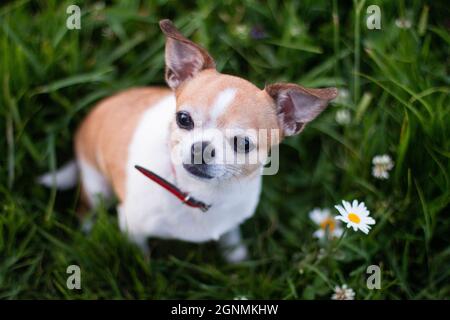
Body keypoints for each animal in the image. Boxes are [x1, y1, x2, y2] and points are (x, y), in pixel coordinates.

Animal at [39, 18, 338, 262]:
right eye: (183, 119)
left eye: (243, 144)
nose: (200, 149)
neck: (196, 193)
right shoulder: (132, 228)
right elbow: (141, 259)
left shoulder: (231, 219)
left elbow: (230, 236)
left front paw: (237, 258)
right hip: (97, 186)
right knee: (87, 208)